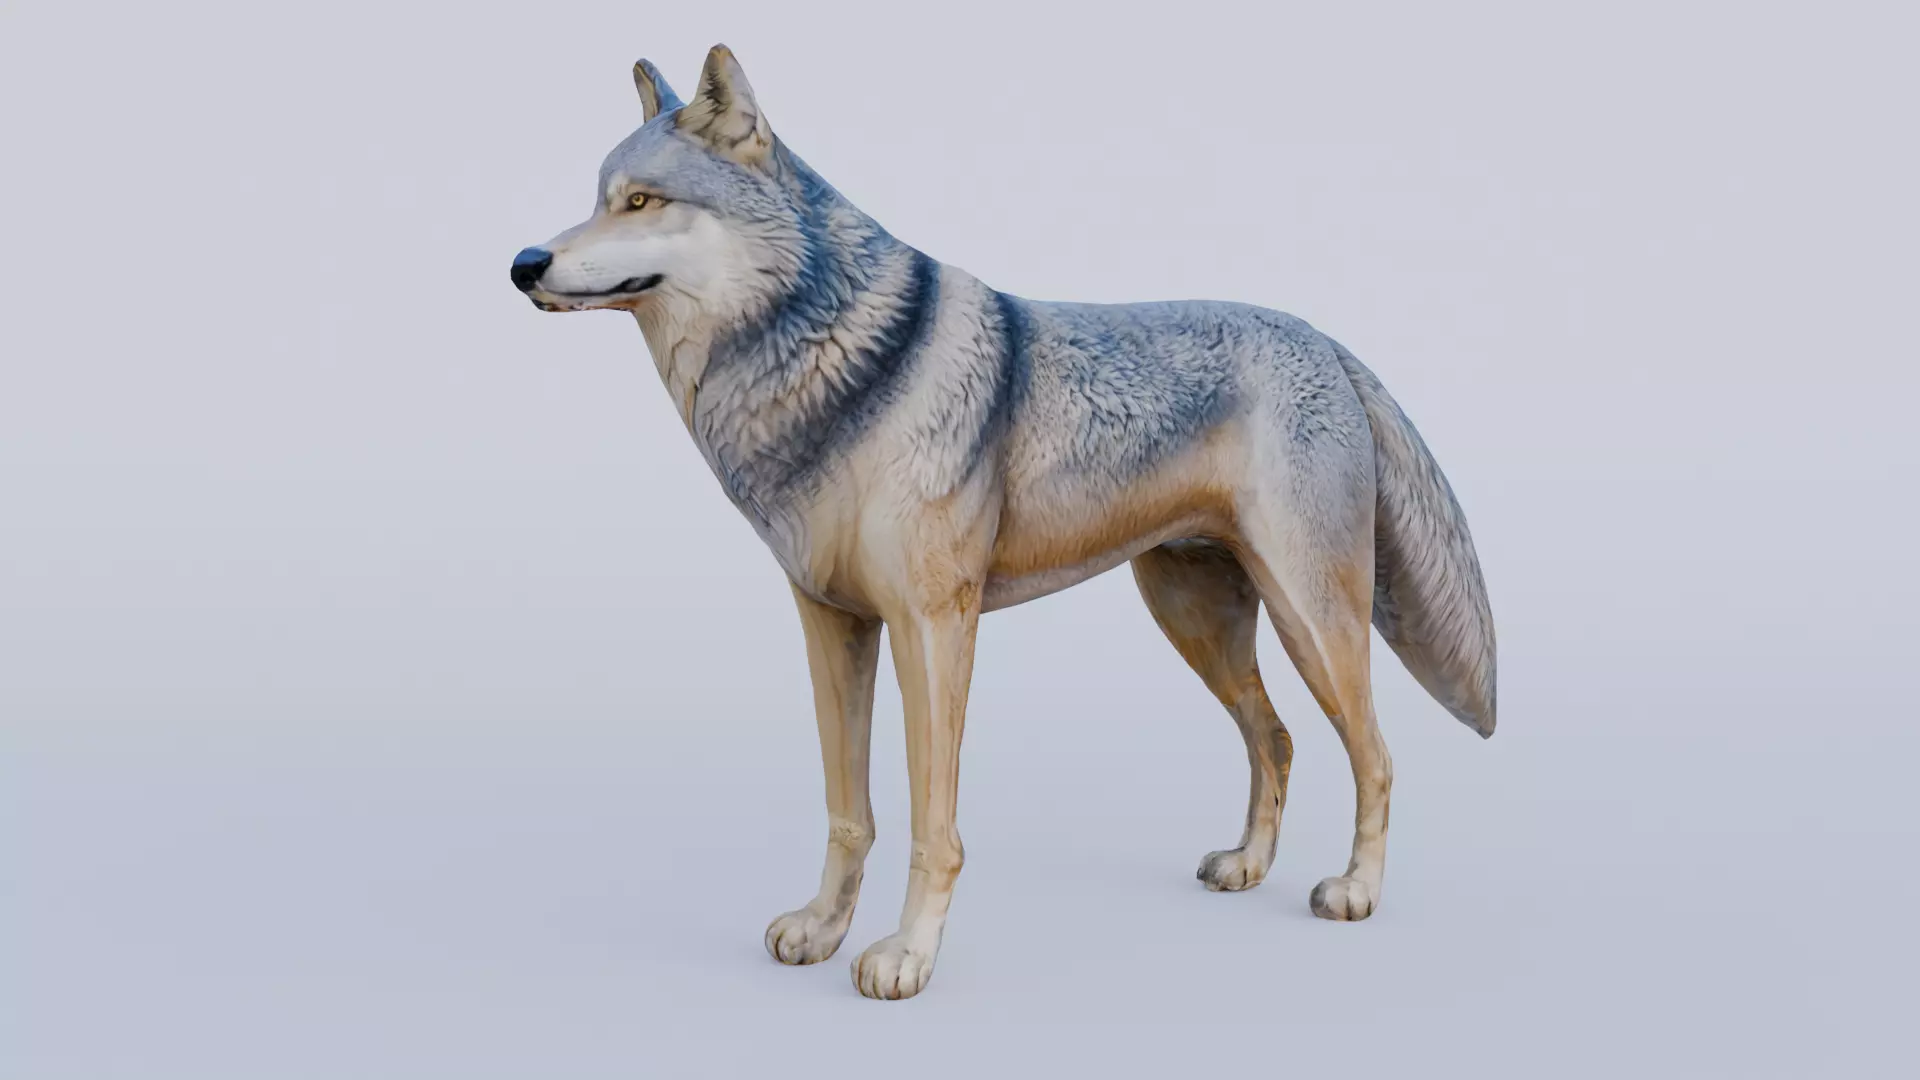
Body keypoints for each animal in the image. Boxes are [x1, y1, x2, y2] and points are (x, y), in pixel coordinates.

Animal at [511, 45, 1497, 1000]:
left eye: (642, 201)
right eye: (597, 200)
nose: (524, 264)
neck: (830, 371)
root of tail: (1326, 342)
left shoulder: (933, 629)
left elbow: (930, 823)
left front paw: (906, 958)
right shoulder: (832, 623)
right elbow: (848, 811)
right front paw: (823, 930)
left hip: (1310, 623)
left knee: (1375, 754)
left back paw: (1356, 891)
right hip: (1197, 622)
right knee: (1277, 737)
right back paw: (1248, 865)